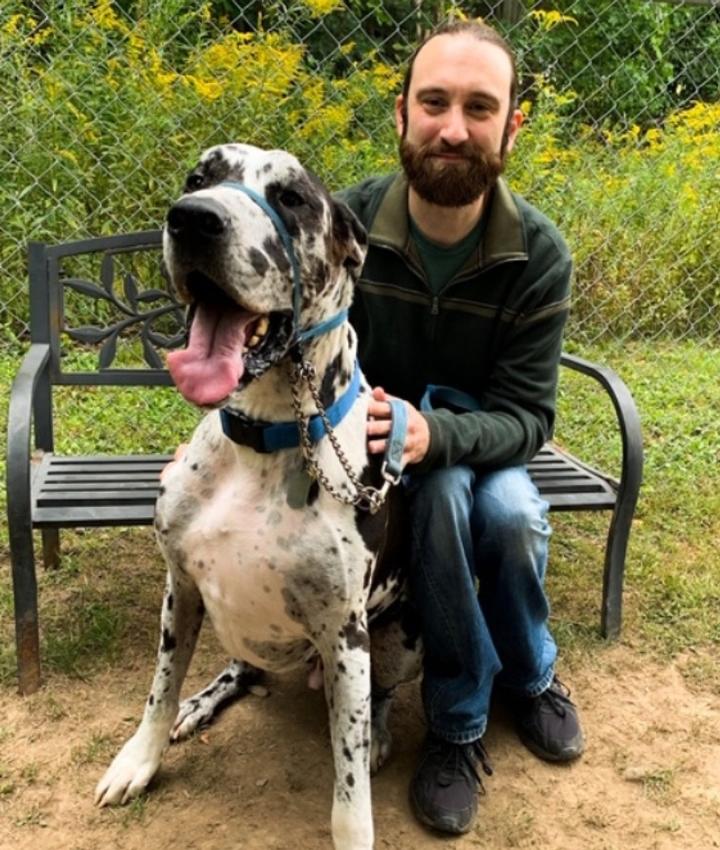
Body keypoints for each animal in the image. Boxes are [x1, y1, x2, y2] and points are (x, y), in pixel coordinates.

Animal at [95, 146, 422, 848]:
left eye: (292, 198)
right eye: (199, 177)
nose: (193, 218)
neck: (264, 438)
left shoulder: (346, 633)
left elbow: (347, 787)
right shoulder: (181, 586)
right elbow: (159, 689)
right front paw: (140, 758)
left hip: (396, 641)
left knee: (377, 700)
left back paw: (380, 733)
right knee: (241, 669)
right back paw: (205, 700)